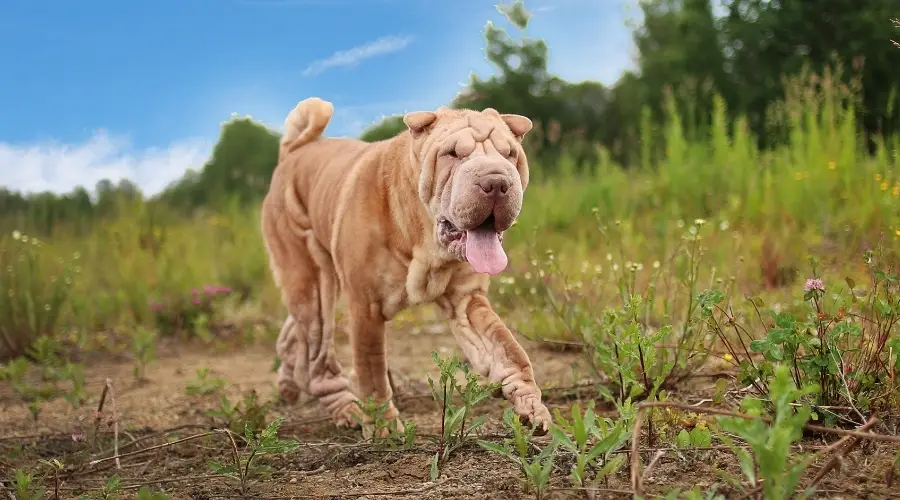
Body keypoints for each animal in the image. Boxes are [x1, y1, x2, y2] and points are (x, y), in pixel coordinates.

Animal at [260, 96, 552, 434]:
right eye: (452, 154)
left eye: (509, 154)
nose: (496, 181)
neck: (421, 233)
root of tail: (292, 152)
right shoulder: (365, 307)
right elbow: (371, 368)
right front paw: (383, 426)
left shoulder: (467, 300)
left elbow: (507, 348)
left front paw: (531, 403)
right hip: (312, 281)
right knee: (317, 352)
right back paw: (345, 408)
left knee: (296, 337)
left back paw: (289, 385)